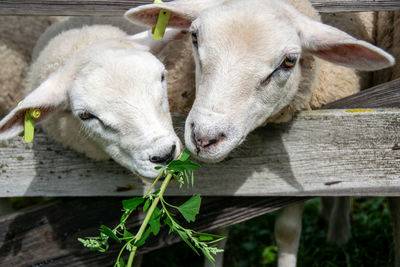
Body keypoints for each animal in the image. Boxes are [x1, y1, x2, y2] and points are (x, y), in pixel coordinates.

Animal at [126, 1, 396, 266]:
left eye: (289, 61)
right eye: (194, 36)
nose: (204, 137)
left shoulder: (303, 178)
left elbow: (288, 232)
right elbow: (218, 233)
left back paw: (338, 234)